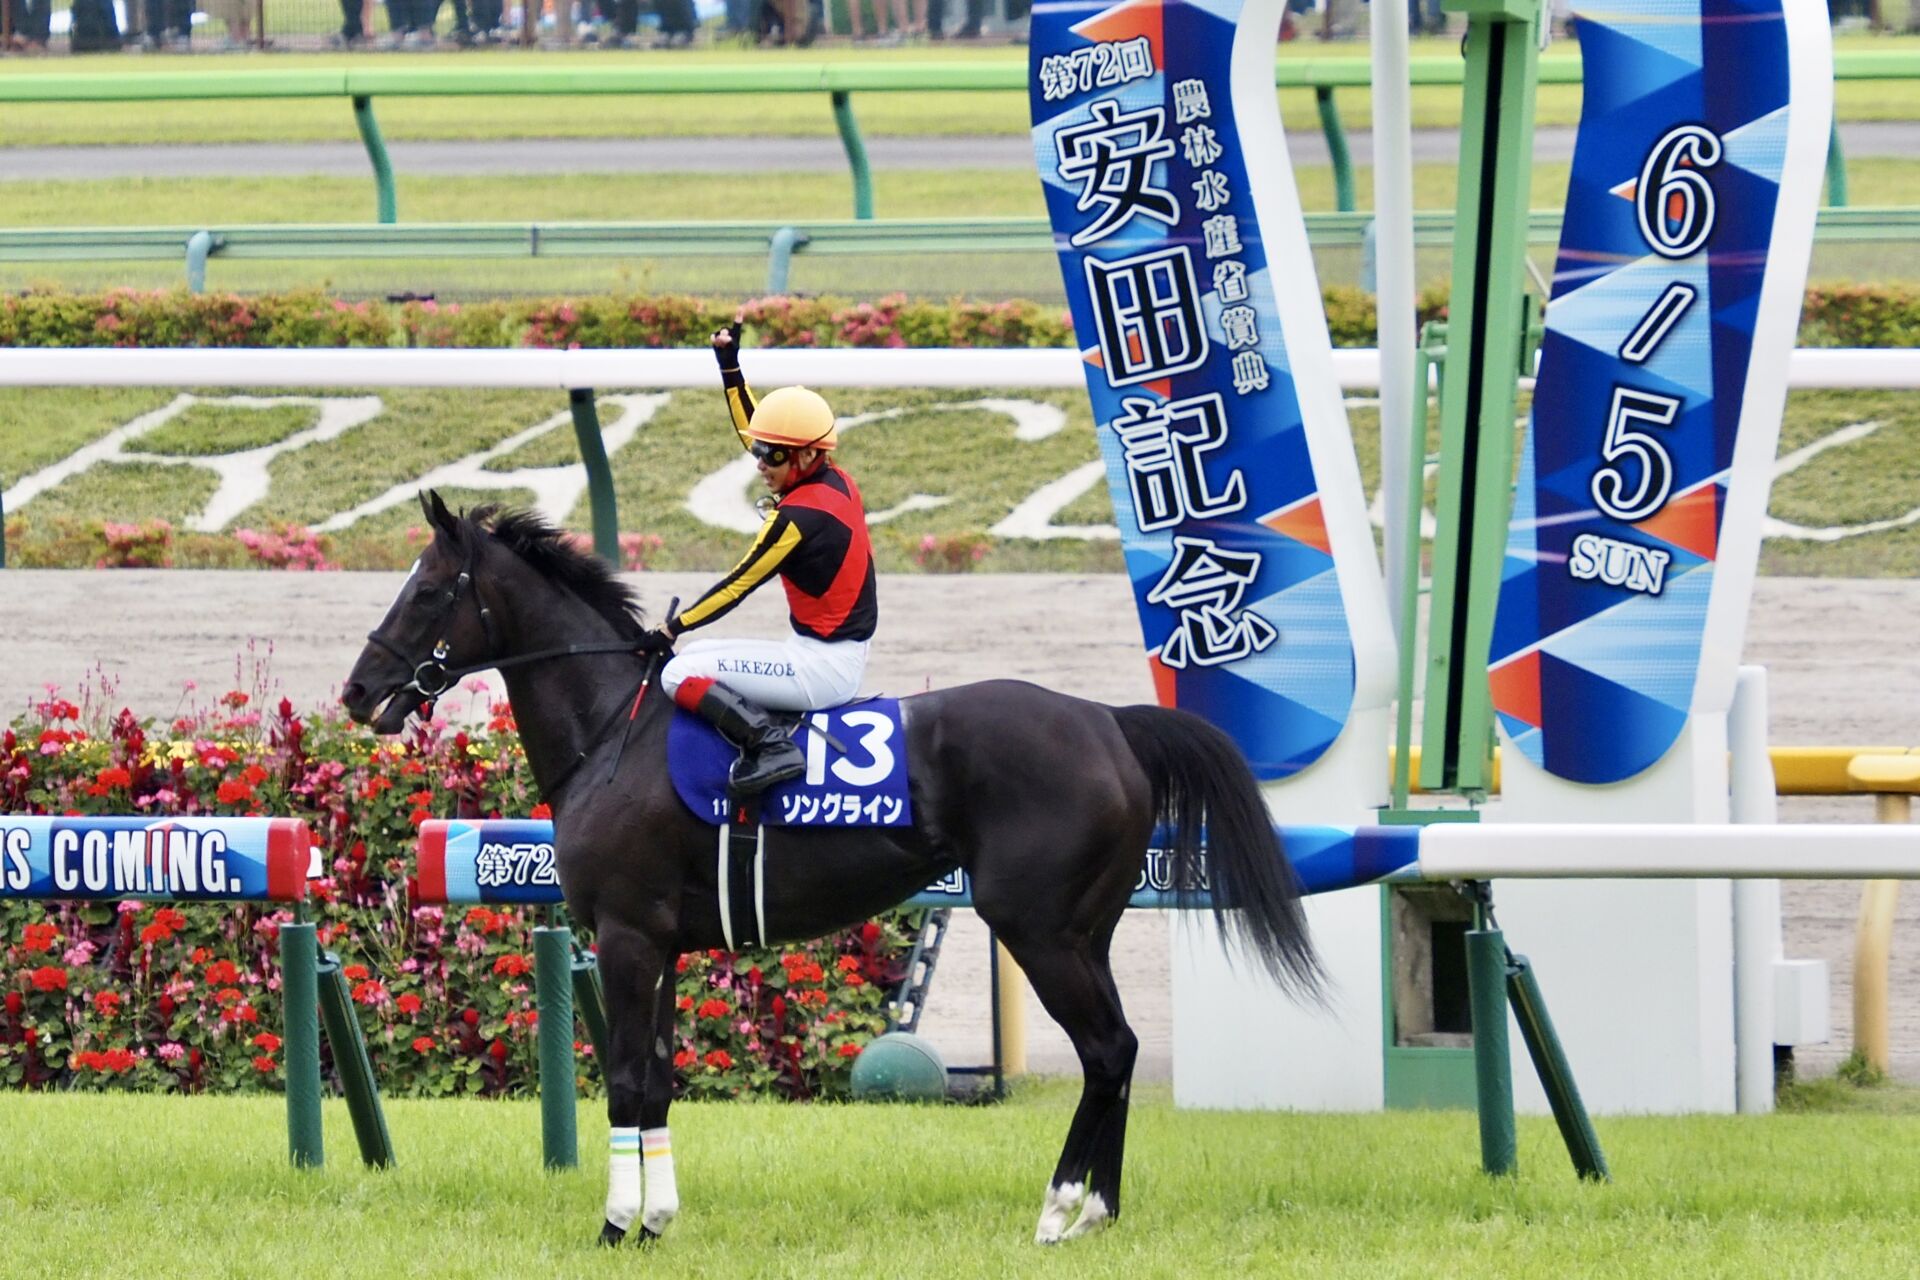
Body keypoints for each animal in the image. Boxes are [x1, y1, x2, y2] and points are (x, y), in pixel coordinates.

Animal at [341, 491, 1323, 1248]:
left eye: (424, 591)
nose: (355, 693)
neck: (615, 730)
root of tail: (1109, 720)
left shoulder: (626, 936)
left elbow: (622, 1078)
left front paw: (617, 1224)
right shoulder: (662, 943)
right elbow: (655, 1080)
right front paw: (656, 1220)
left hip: (1039, 930)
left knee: (1107, 1049)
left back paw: (1060, 1209)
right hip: (1088, 932)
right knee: (1112, 1052)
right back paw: (1093, 1213)